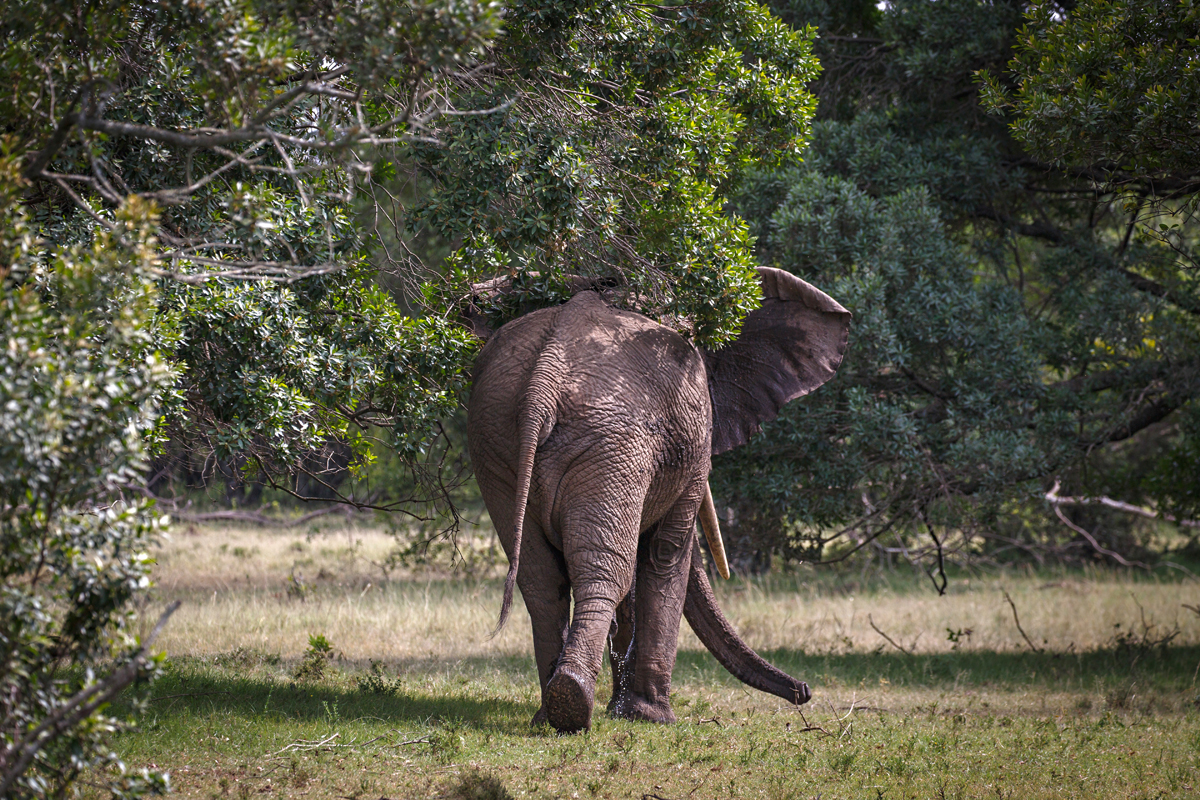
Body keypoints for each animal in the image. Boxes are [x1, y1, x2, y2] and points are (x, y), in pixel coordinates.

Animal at [467, 267, 850, 733]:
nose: (804, 692)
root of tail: (546, 375)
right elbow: (665, 553)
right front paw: (653, 718)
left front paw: (623, 712)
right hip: (610, 442)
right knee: (604, 570)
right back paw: (573, 704)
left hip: (498, 437)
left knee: (541, 579)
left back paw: (550, 713)